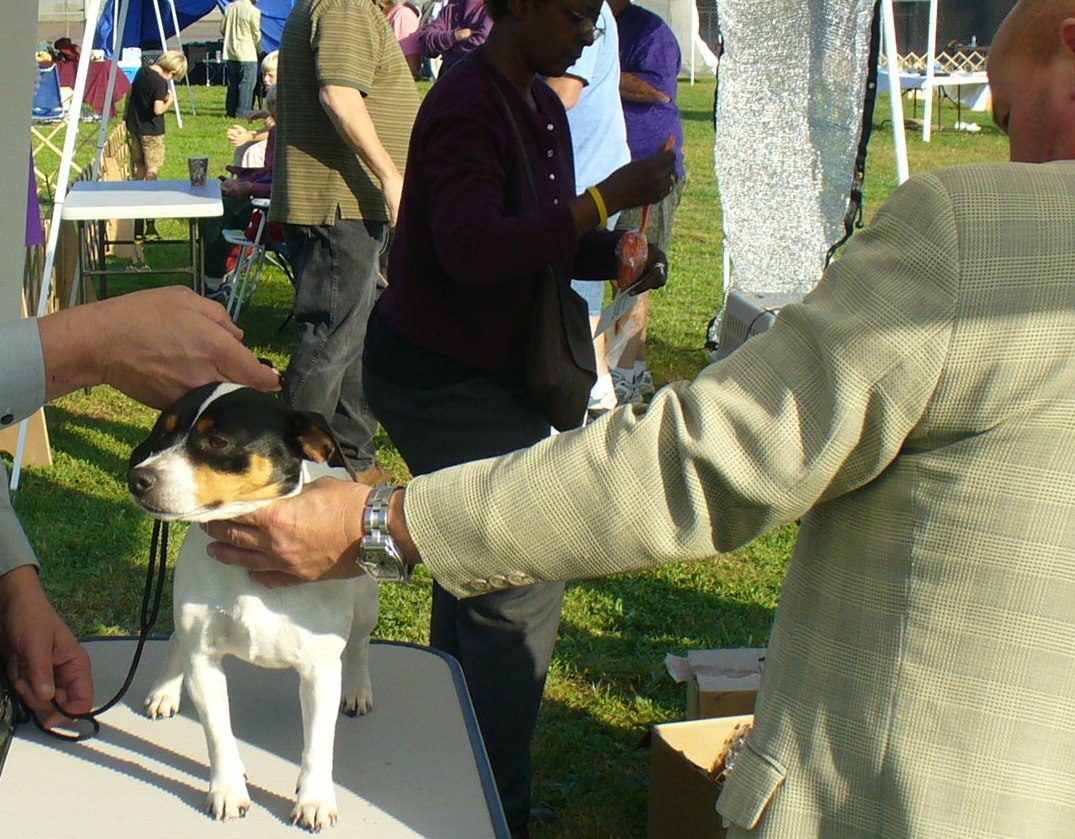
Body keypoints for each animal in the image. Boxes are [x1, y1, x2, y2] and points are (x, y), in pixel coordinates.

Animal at [128, 380, 380, 830]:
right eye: (161, 432)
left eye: (218, 441)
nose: (138, 478)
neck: (250, 565)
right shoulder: (204, 660)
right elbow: (219, 735)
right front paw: (227, 789)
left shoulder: (319, 672)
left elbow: (318, 745)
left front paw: (315, 798)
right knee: (176, 638)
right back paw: (165, 689)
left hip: (365, 604)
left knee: (359, 644)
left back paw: (357, 688)